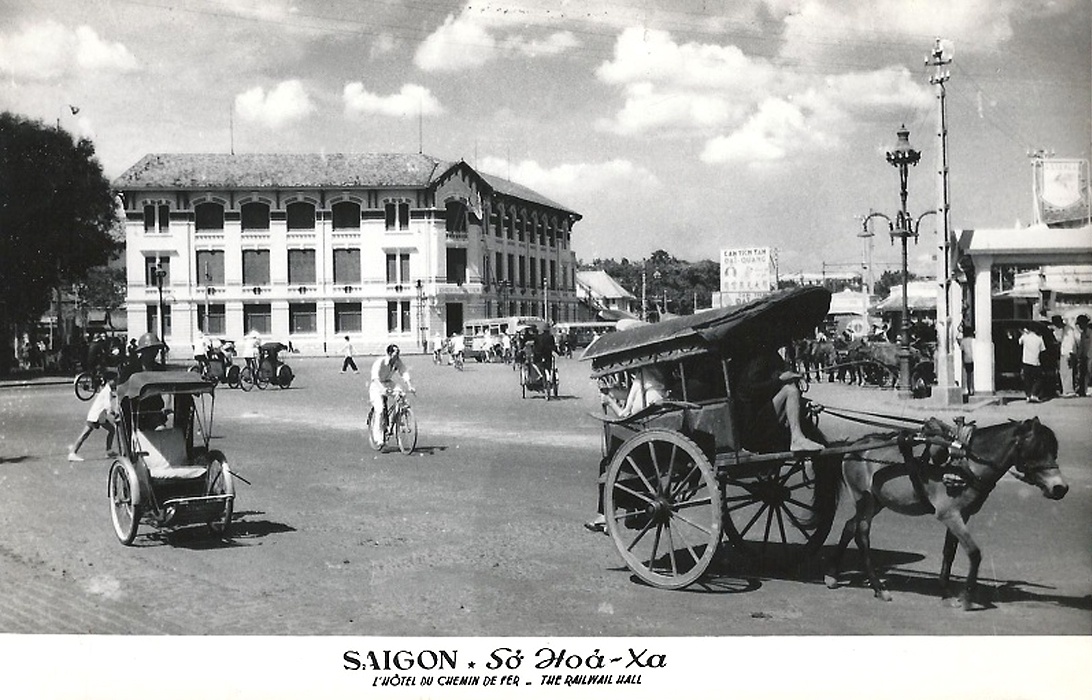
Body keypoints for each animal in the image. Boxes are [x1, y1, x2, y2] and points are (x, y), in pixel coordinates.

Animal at [821, 417, 1061, 607]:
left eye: (1054, 450)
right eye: (1036, 450)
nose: (1060, 487)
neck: (965, 460)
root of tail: (853, 446)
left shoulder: (961, 515)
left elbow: (950, 552)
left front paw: (946, 590)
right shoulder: (949, 515)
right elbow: (974, 552)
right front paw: (966, 597)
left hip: (877, 501)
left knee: (850, 526)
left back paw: (832, 575)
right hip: (864, 499)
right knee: (861, 535)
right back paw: (879, 588)